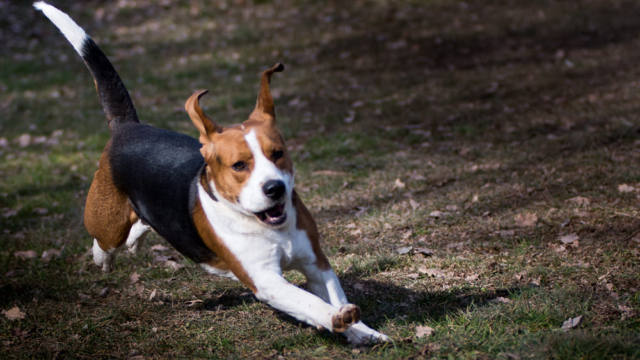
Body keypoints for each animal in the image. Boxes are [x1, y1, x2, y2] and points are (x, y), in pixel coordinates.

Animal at [36, 0, 390, 344]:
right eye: (239, 165)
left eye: (278, 154)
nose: (275, 188)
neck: (269, 226)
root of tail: (128, 127)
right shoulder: (265, 280)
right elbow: (309, 301)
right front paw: (334, 318)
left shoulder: (317, 263)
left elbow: (334, 294)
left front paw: (361, 331)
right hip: (106, 223)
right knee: (105, 242)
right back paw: (104, 257)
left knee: (141, 227)